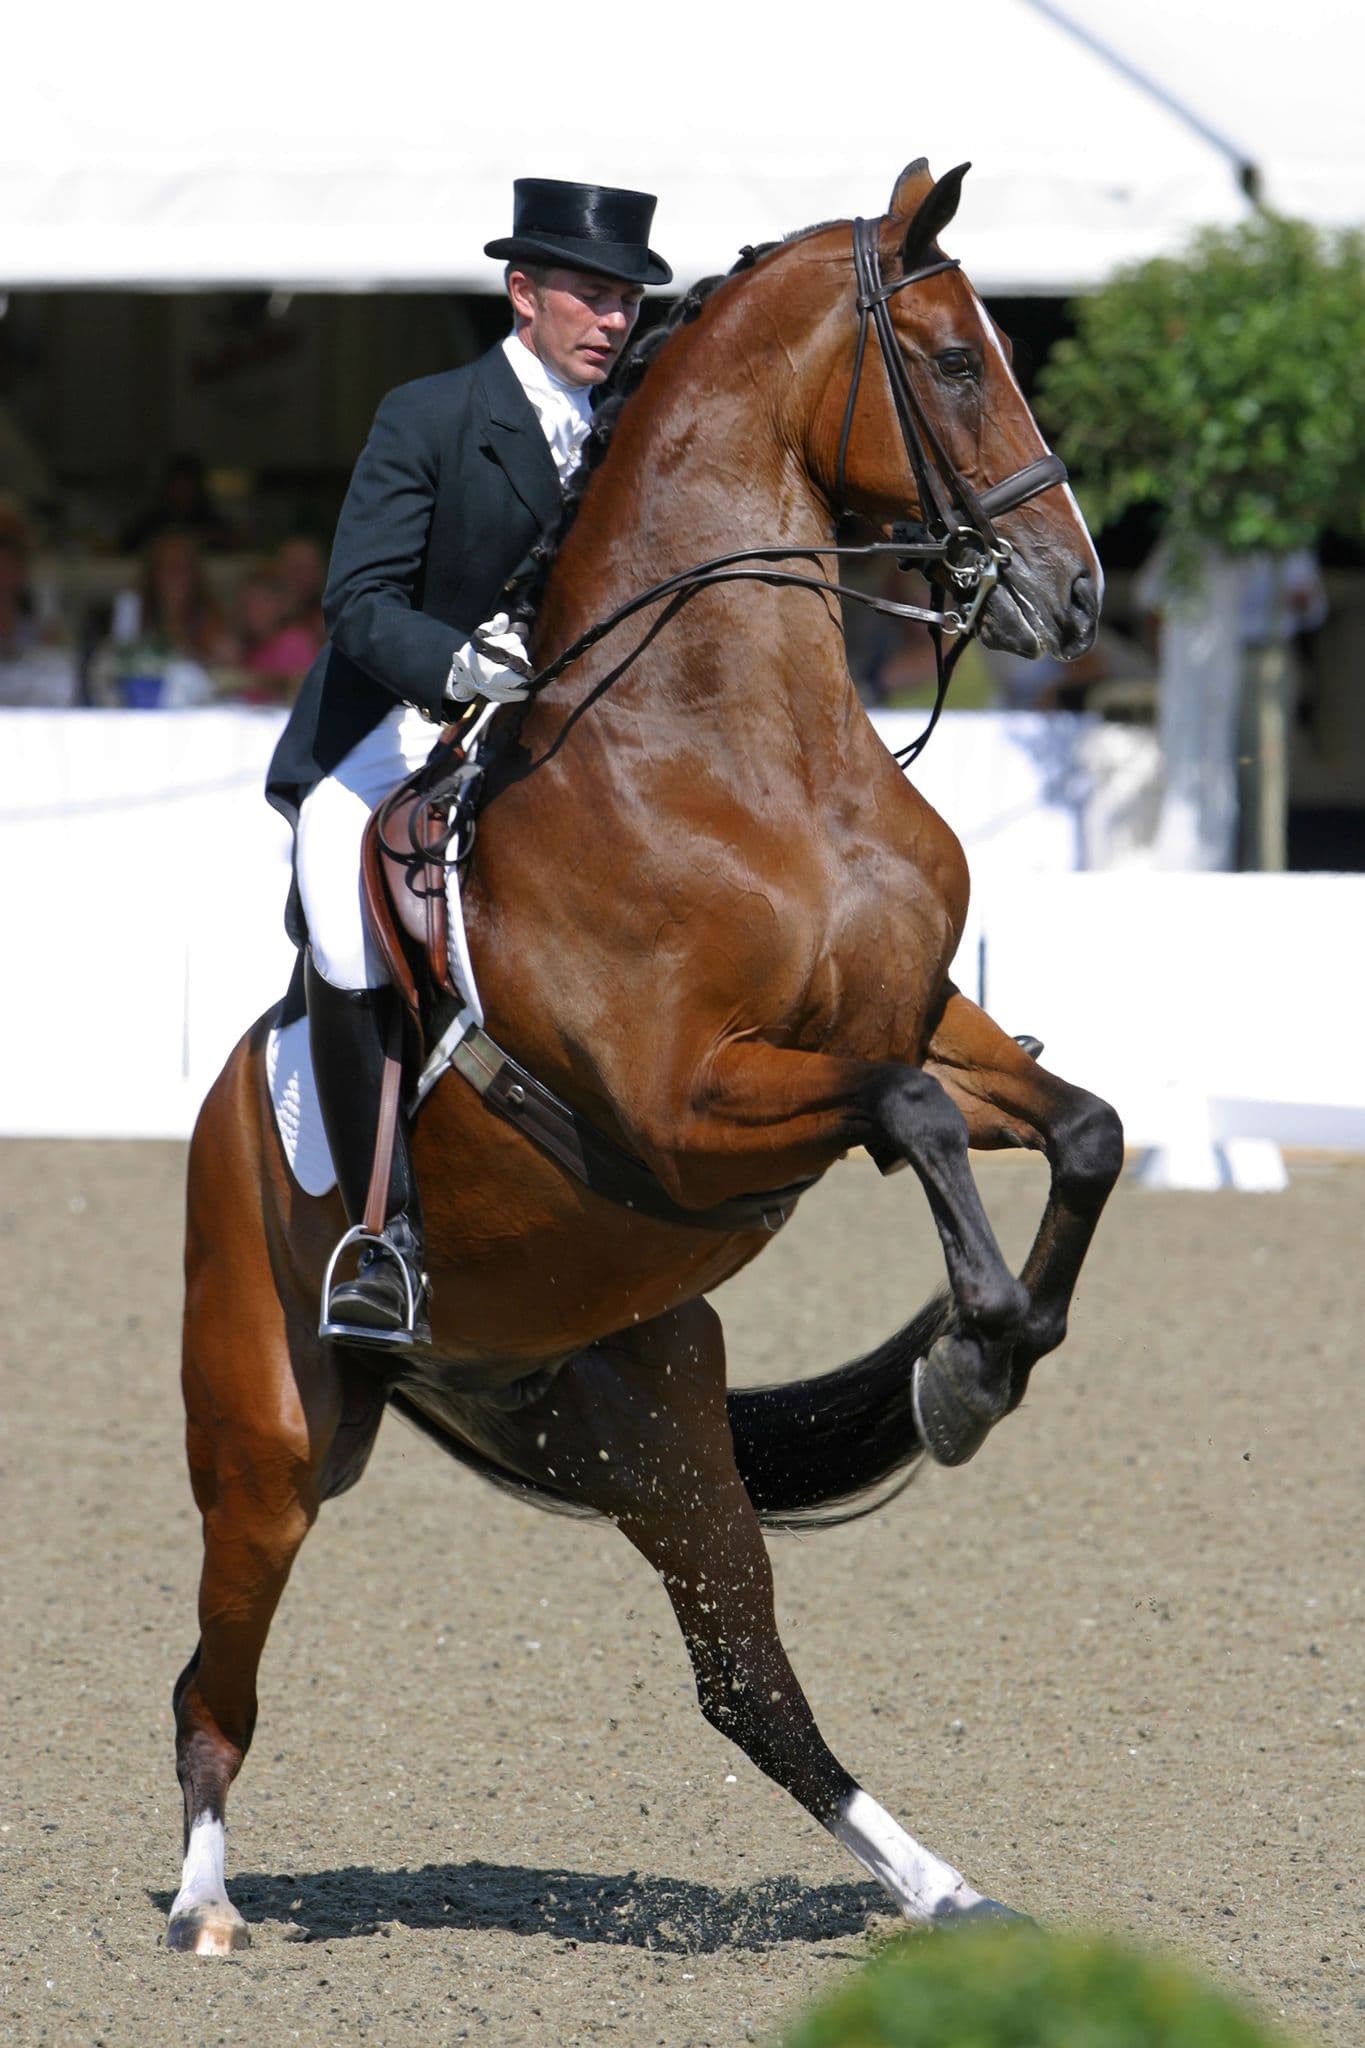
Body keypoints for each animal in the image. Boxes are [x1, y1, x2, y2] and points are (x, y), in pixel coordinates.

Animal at [168, 158, 1123, 1956]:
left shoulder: (927, 1027)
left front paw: (989, 1357)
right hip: (271, 1437)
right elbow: (906, 1116)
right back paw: (203, 1907)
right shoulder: (684, 1107)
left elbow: (1081, 1128)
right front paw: (966, 1362)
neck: (738, 748)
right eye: (956, 360)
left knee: (749, 1684)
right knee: (217, 1676)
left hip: (647, 1420)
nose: (1081, 592)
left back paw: (946, 1889)